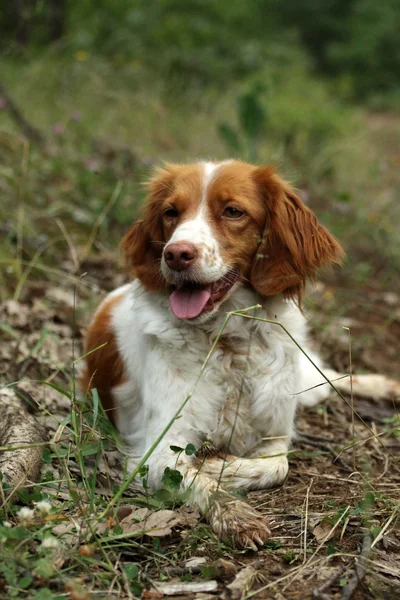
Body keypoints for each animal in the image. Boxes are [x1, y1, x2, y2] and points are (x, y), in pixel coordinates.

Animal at [81, 159, 396, 548]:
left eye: (233, 211)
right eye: (171, 212)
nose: (176, 254)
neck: (231, 343)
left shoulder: (277, 431)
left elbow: (278, 465)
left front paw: (218, 463)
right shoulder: (159, 446)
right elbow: (191, 475)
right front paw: (234, 513)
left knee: (334, 378)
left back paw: (386, 386)